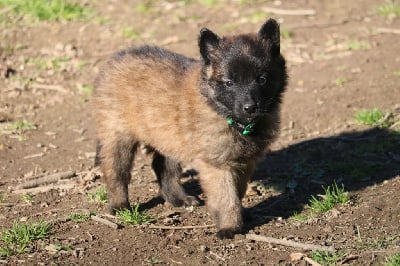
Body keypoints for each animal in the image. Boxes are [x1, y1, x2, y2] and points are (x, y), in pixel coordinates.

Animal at [94, 19, 288, 239]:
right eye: (229, 82)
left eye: (261, 79)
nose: (250, 107)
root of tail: (116, 57)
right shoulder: (217, 165)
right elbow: (226, 197)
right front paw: (229, 227)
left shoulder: (244, 162)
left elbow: (238, 191)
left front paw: (240, 216)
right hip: (118, 135)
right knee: (115, 171)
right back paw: (120, 206)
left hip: (169, 138)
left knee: (163, 168)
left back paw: (179, 199)